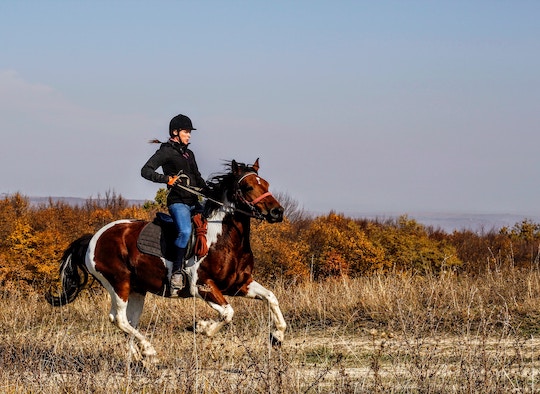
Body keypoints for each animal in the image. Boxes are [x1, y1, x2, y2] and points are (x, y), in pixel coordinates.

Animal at [45, 159, 286, 362]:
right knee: (119, 318)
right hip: (118, 283)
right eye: (248, 187)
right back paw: (149, 351)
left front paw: (277, 336)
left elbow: (271, 298)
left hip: (137, 289)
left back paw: (137, 355)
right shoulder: (203, 286)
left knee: (129, 321)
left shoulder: (240, 284)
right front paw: (201, 327)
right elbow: (228, 313)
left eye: (265, 183)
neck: (224, 237)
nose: (277, 212)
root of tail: (94, 238)